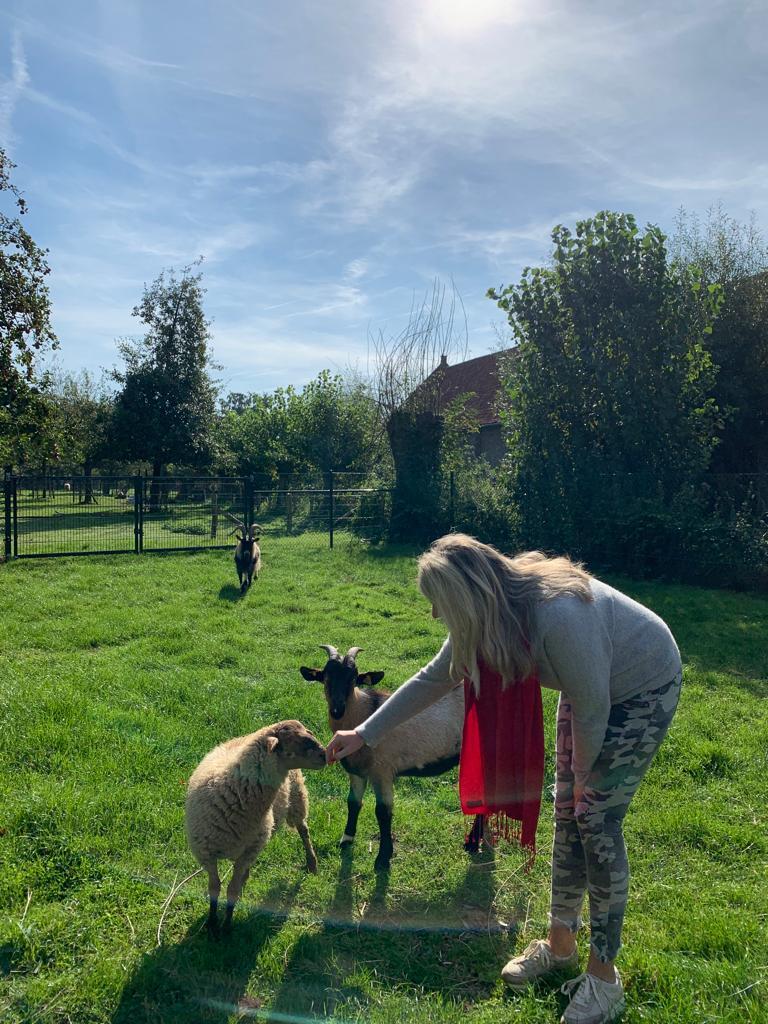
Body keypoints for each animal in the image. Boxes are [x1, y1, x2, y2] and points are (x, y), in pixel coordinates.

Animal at [188, 720, 327, 937]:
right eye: (296, 743)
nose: (326, 755)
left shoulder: (246, 852)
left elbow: (231, 890)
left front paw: (226, 927)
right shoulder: (206, 853)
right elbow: (214, 887)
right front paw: (211, 923)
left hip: (297, 797)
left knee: (304, 831)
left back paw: (312, 863)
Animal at [296, 643, 479, 868]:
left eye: (354, 678)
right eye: (326, 677)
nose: (337, 709)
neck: (364, 717)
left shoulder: (382, 772)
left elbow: (383, 812)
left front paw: (383, 858)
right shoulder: (356, 772)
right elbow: (353, 803)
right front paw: (347, 839)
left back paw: (473, 842)